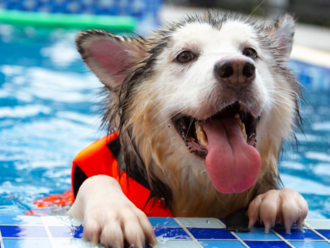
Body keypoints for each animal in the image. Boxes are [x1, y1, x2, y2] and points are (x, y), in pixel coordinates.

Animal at [67, 11, 310, 248]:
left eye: (250, 52)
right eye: (184, 56)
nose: (238, 69)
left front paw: (277, 197)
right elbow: (97, 180)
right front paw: (117, 212)